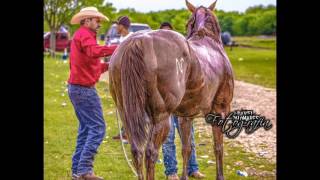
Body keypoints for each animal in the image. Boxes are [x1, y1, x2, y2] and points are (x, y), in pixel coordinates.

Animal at [109, 0, 234, 179]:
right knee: (151, 153)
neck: (208, 40)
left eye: (187, 23)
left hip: (126, 114)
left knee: (136, 150)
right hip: (161, 118)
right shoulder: (220, 110)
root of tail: (138, 40)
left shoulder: (185, 117)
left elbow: (187, 148)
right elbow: (218, 148)